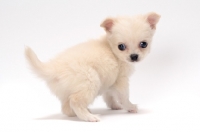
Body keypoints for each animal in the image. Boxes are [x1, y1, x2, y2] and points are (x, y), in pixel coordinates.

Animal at [24, 12, 161, 121]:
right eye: (121, 46)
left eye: (143, 44)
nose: (134, 56)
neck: (111, 49)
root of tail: (53, 69)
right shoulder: (121, 81)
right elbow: (124, 97)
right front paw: (130, 107)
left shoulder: (109, 82)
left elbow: (109, 96)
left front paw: (114, 106)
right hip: (91, 81)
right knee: (75, 101)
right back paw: (89, 117)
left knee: (66, 108)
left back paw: (81, 113)